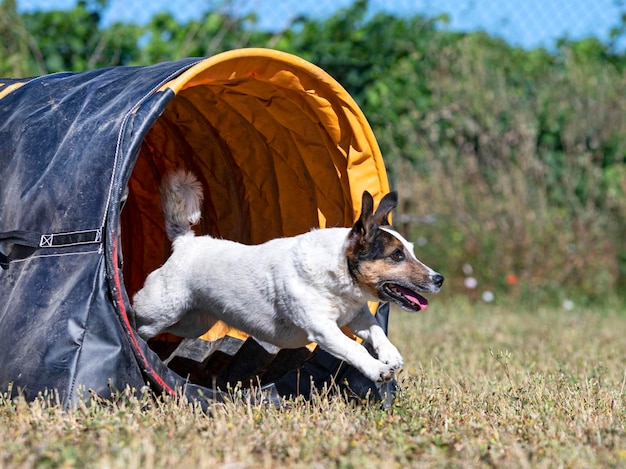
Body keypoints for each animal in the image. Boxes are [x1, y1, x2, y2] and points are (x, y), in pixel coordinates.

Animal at [133, 170, 442, 382]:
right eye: (396, 255)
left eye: (411, 250)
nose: (439, 279)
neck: (338, 274)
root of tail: (186, 243)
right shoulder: (322, 328)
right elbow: (352, 349)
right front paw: (377, 369)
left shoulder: (356, 316)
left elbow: (376, 330)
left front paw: (390, 355)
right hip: (161, 310)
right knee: (139, 318)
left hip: (193, 323)